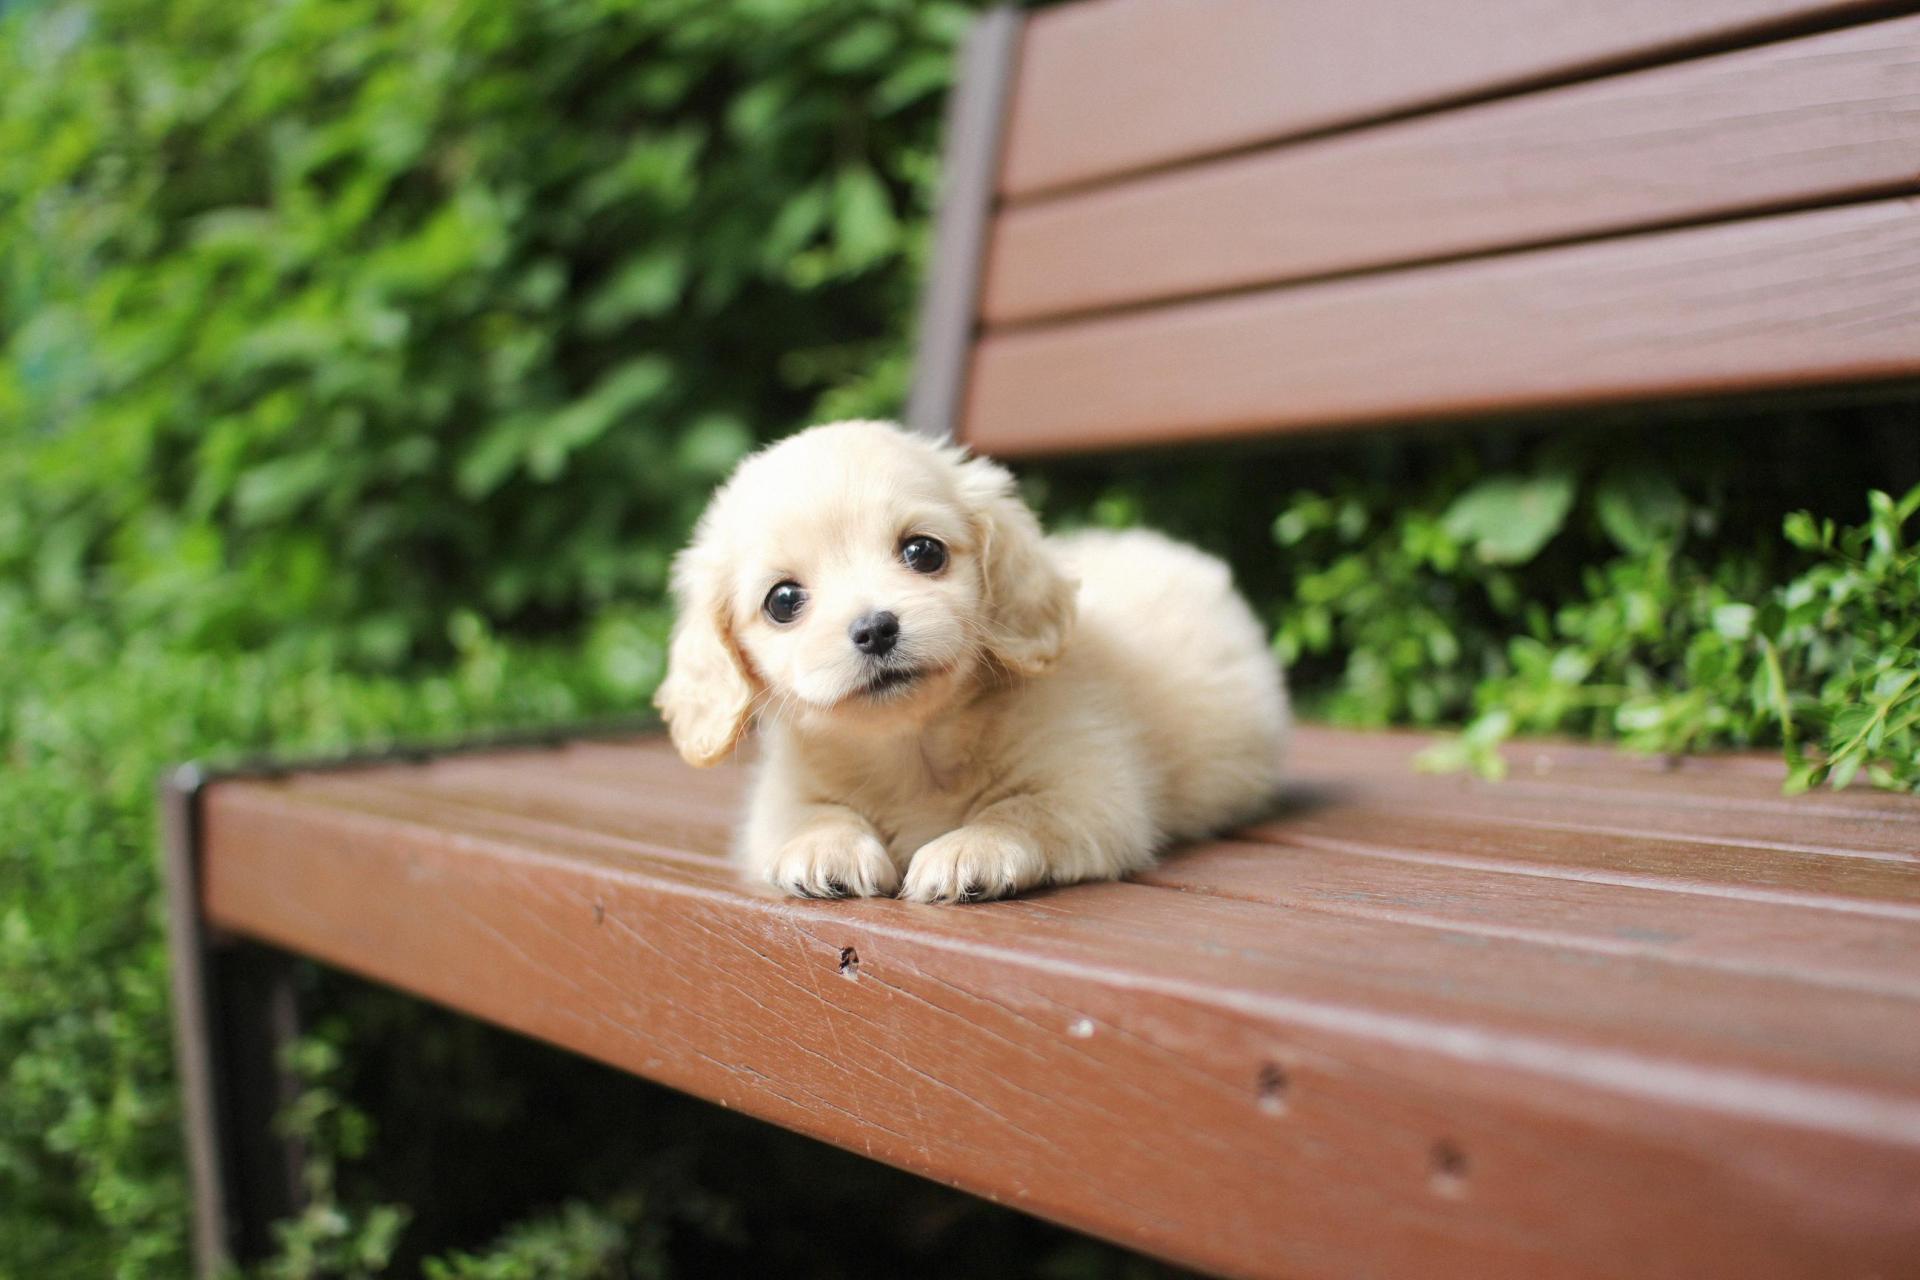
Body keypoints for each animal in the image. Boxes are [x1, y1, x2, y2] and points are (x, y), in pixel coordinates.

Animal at [654, 420, 1289, 903]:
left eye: (923, 551)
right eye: (783, 601)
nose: (875, 628)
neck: (914, 749)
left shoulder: (1090, 793)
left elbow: (1017, 812)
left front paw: (968, 850)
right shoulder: (780, 801)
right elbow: (813, 814)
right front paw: (824, 848)